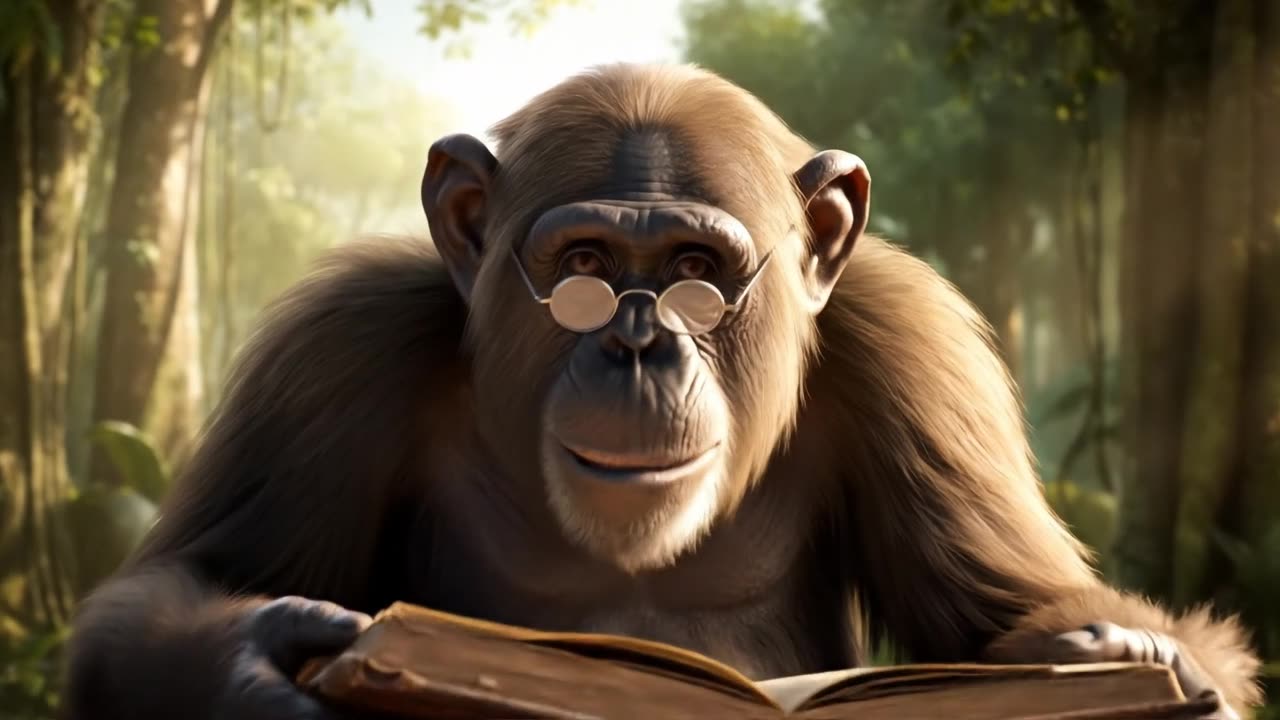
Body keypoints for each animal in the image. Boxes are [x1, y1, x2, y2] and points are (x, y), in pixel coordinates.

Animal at [62, 63, 1261, 720]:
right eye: (586, 265)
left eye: (694, 271)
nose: (637, 344)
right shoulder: (336, 350)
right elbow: (181, 583)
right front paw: (267, 662)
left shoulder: (914, 355)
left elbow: (1009, 612)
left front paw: (1127, 662)